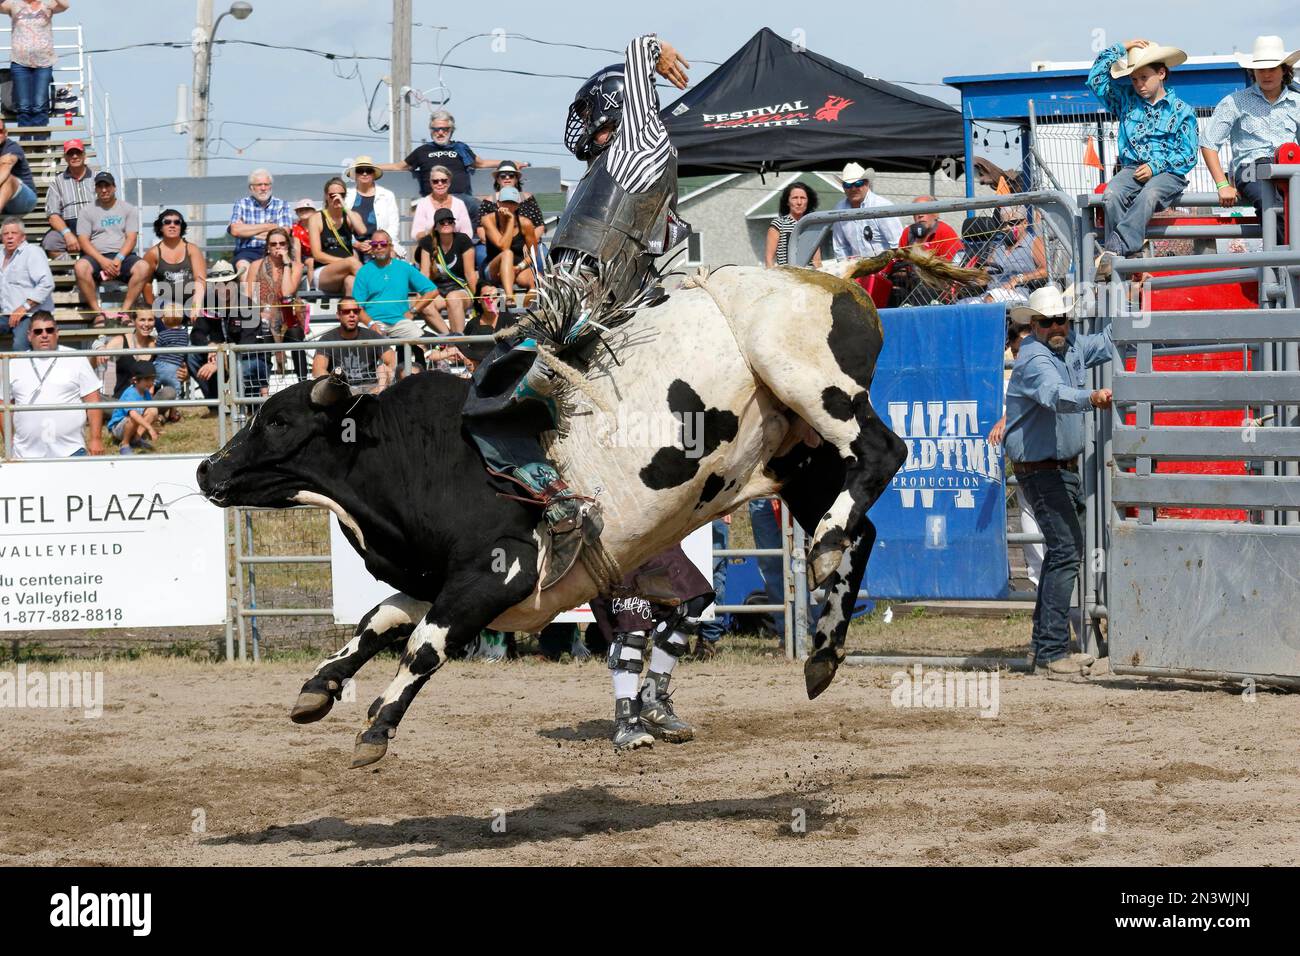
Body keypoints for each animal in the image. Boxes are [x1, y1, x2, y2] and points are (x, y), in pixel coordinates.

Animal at [197, 250, 983, 768]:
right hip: (799, 456)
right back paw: (821, 646)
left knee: (882, 453)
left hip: (811, 384)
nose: (208, 470)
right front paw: (317, 688)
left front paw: (376, 728)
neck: (414, 458)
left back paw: (821, 554)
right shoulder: (437, 583)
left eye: (277, 422)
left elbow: (422, 645)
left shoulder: (498, 573)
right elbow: (376, 622)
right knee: (863, 525)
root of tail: (834, 274)